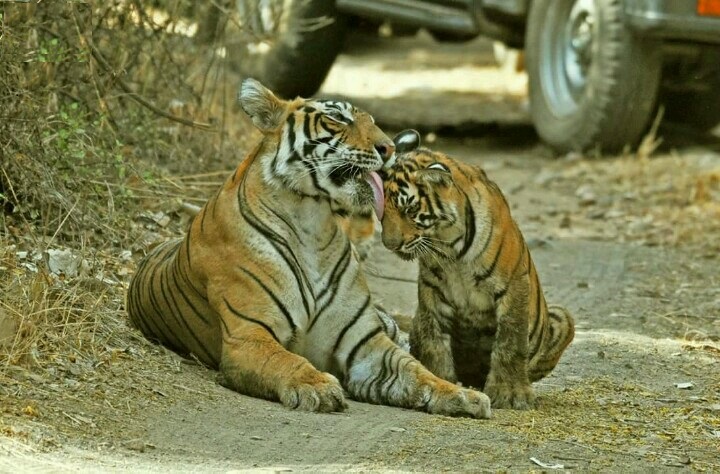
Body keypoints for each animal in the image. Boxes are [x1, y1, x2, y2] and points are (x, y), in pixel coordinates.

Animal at [126, 81, 492, 418]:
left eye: (372, 122)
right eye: (338, 118)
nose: (390, 148)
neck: (311, 223)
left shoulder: (365, 342)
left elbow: (416, 371)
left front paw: (463, 395)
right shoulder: (248, 334)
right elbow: (285, 360)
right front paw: (316, 385)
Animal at [382, 131, 572, 410]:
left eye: (410, 209)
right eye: (380, 211)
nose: (390, 244)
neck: (448, 246)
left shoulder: (513, 285)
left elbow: (510, 341)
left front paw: (511, 393)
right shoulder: (432, 290)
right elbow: (434, 341)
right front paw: (440, 380)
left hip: (562, 317)